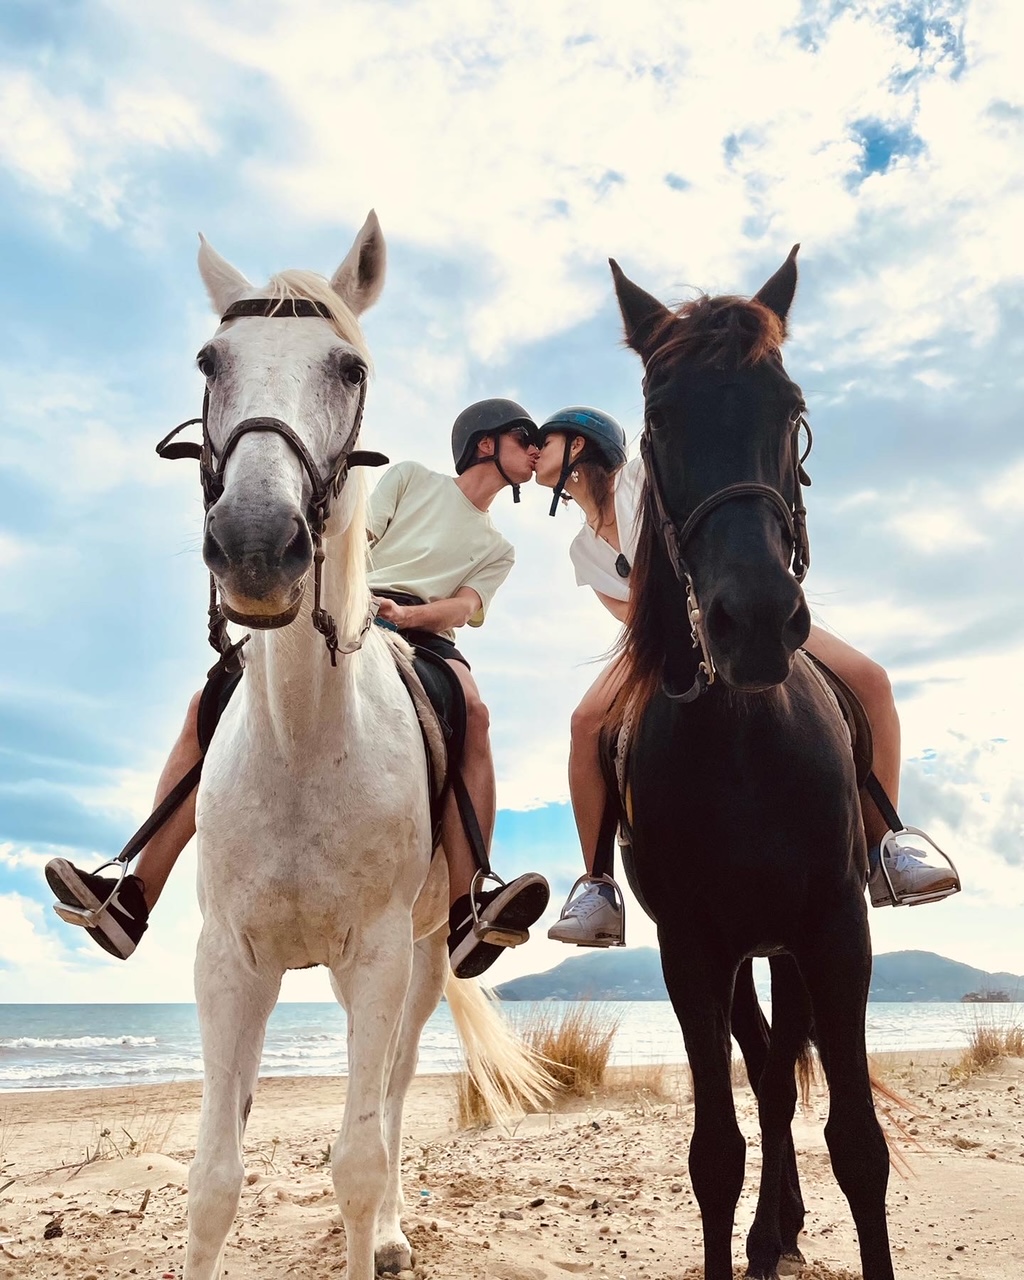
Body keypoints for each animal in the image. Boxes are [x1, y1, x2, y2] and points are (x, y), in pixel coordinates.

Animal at [184, 215, 552, 1280]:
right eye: (211, 360)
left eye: (348, 367)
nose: (255, 543)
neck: (306, 746)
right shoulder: (231, 961)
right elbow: (213, 1181)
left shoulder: (381, 958)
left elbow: (356, 1157)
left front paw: (372, 1227)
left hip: (424, 963)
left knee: (389, 1096)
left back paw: (390, 1232)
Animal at [611, 249, 890, 1280]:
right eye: (659, 418)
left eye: (790, 405)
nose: (757, 620)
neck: (744, 748)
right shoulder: (693, 953)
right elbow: (715, 1154)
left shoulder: (835, 932)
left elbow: (857, 1143)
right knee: (765, 1071)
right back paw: (774, 1233)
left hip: (791, 951)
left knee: (778, 1074)